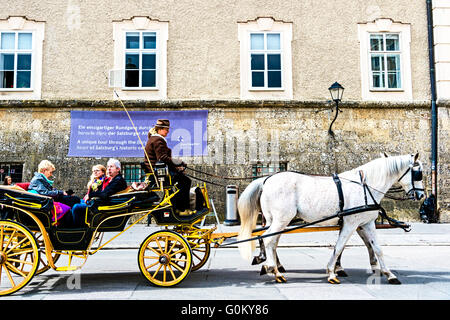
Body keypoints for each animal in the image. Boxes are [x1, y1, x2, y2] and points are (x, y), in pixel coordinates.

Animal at [239, 154, 426, 284]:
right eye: (418, 174)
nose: (421, 195)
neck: (365, 187)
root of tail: (266, 179)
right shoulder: (351, 223)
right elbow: (339, 247)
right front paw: (331, 272)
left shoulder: (366, 224)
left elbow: (377, 249)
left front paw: (389, 274)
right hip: (281, 220)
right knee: (268, 240)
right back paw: (273, 269)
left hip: (274, 220)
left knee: (271, 241)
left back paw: (274, 269)